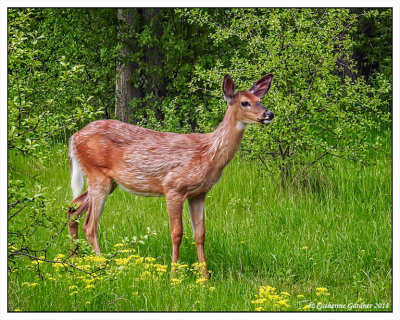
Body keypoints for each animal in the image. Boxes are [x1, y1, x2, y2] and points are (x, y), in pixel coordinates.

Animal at [68, 74, 276, 278]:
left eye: (259, 100)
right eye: (244, 103)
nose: (269, 114)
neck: (208, 153)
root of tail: (74, 138)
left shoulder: (199, 194)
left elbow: (200, 234)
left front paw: (205, 278)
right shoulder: (173, 187)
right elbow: (177, 233)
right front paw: (174, 276)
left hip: (108, 181)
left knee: (73, 208)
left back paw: (74, 261)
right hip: (97, 174)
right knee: (89, 225)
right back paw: (103, 267)